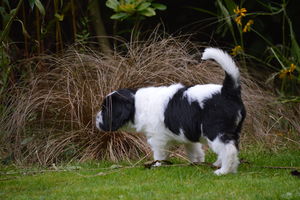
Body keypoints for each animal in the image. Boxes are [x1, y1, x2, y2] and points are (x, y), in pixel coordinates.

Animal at [96, 48, 246, 175]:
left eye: (105, 109)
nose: (96, 119)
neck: (136, 105)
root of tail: (228, 91)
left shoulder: (157, 138)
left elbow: (159, 154)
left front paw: (157, 165)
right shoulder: (188, 136)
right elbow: (194, 151)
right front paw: (196, 163)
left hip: (215, 130)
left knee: (228, 150)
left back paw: (223, 171)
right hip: (233, 130)